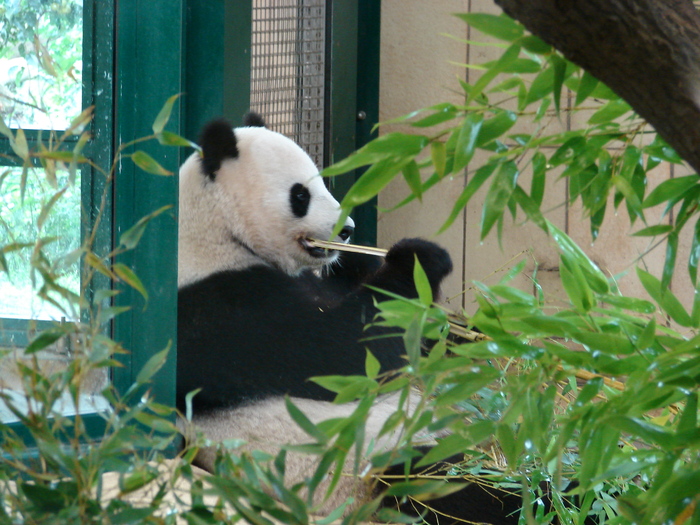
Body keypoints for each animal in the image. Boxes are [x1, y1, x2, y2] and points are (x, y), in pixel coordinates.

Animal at [178, 114, 532, 524]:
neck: (214, 231)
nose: (346, 230)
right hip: (365, 464)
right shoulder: (223, 307)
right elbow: (345, 354)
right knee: (450, 487)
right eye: (300, 195)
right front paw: (418, 258)